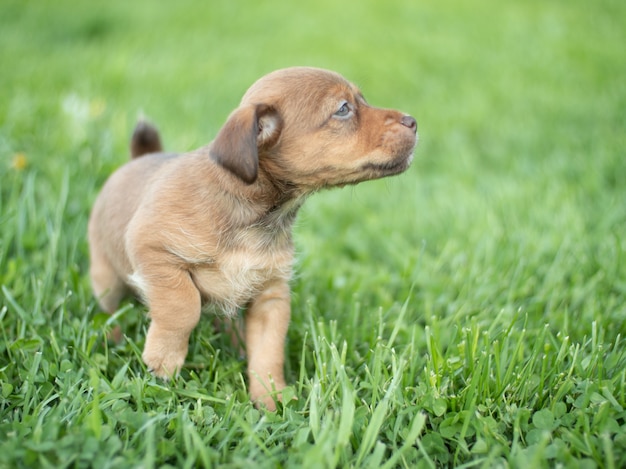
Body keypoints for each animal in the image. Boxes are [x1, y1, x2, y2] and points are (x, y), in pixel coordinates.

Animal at [88, 65, 416, 406]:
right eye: (343, 109)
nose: (413, 121)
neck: (255, 216)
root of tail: (138, 158)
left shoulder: (270, 297)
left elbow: (267, 352)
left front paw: (270, 399)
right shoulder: (153, 249)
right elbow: (183, 305)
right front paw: (164, 358)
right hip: (106, 278)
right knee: (111, 310)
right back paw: (114, 337)